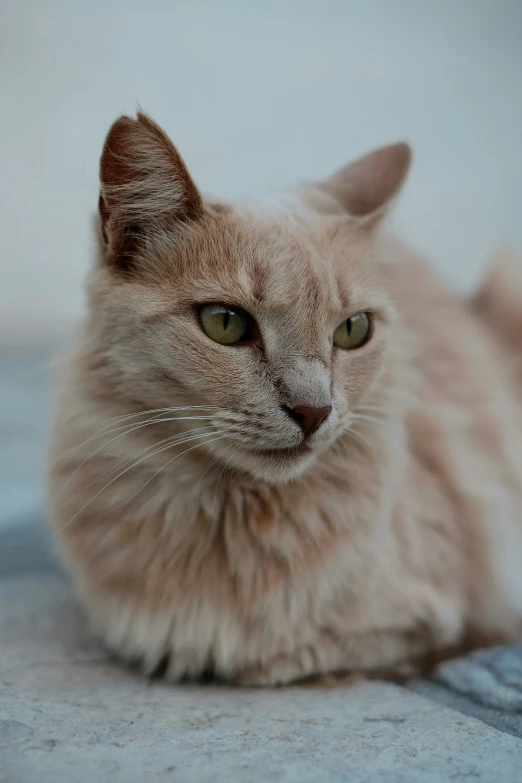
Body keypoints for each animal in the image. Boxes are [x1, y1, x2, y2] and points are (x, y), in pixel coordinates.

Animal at [47, 112, 520, 688]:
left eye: (353, 330)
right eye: (225, 324)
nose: (314, 411)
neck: (227, 516)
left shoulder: (425, 623)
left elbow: (285, 658)